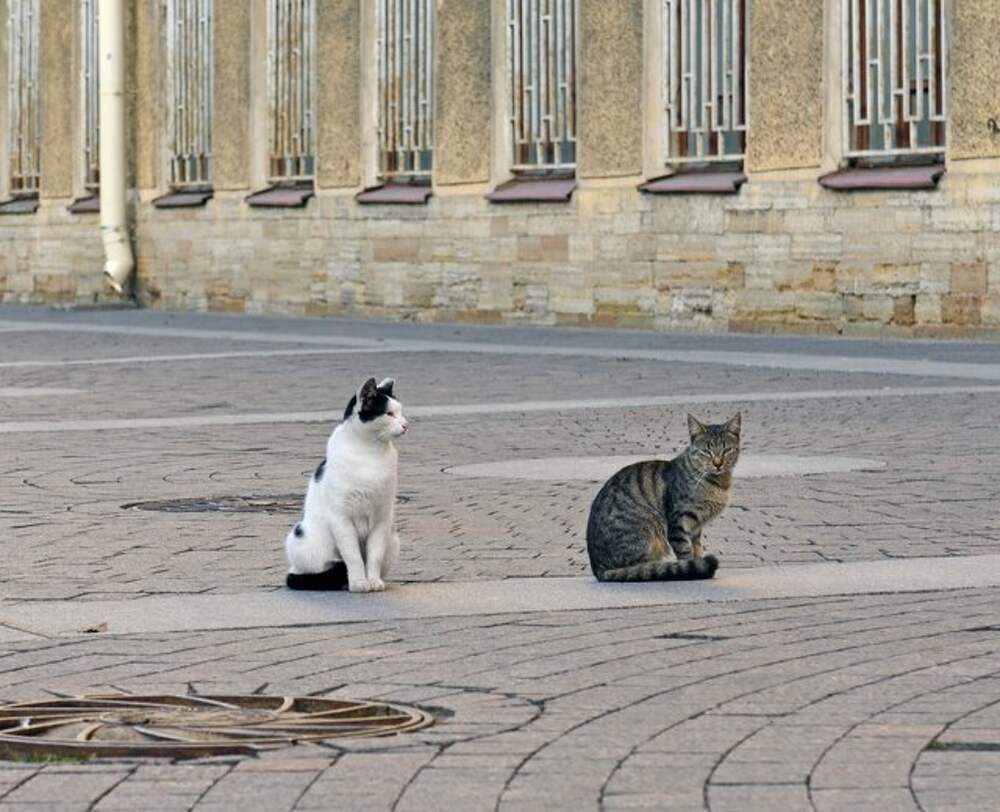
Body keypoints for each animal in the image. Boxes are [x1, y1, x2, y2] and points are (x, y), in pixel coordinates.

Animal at [285, 377, 408, 592]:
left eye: (400, 412)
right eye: (389, 414)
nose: (406, 424)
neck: (370, 452)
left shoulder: (381, 520)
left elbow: (374, 556)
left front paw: (372, 580)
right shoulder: (341, 520)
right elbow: (353, 557)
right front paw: (359, 582)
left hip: (392, 539)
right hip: (305, 540)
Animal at [586, 413, 741, 582]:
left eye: (727, 450)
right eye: (706, 451)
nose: (717, 463)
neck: (718, 483)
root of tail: (598, 569)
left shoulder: (696, 526)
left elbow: (697, 549)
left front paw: (699, 562)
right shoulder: (679, 522)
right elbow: (686, 553)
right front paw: (693, 570)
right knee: (641, 568)